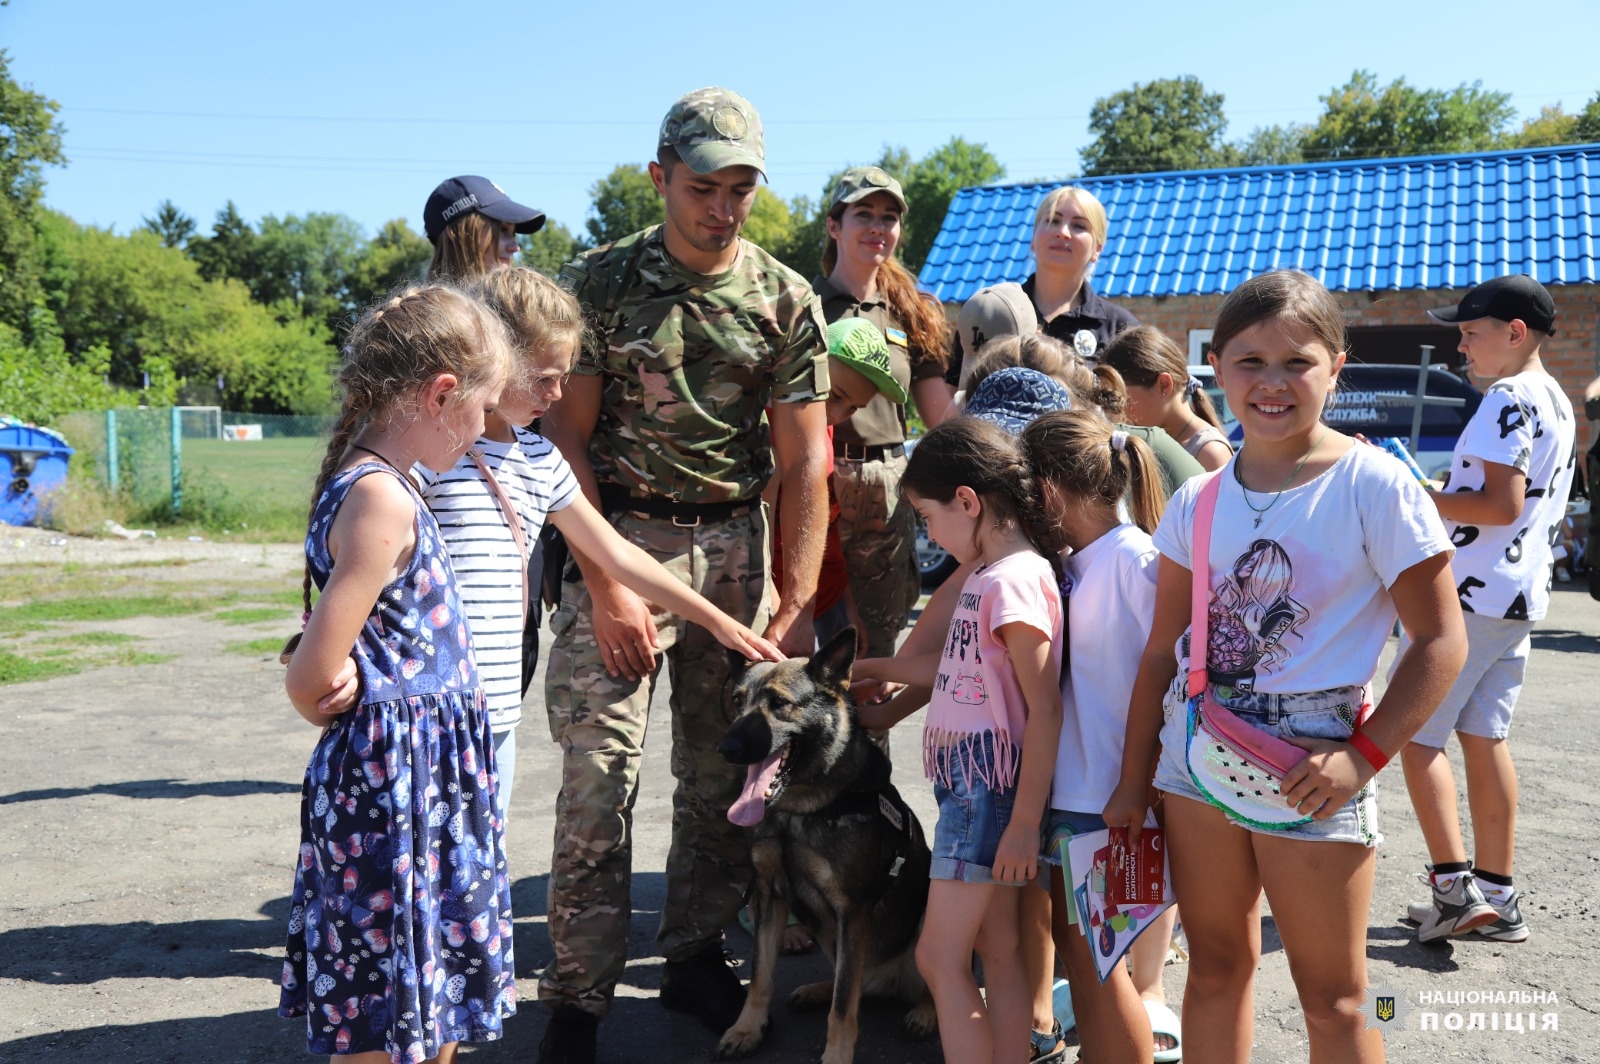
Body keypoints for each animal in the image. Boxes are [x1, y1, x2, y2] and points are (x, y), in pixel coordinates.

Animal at [710, 627, 934, 1056]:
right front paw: (747, 1029)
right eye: (737, 701)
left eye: (779, 703)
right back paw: (818, 990)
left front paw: (836, 1055)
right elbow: (760, 977)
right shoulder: (769, 895)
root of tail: (890, 979)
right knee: (855, 982)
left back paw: (925, 1011)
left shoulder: (852, 911)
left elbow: (843, 1008)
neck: (799, 810)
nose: (725, 749)